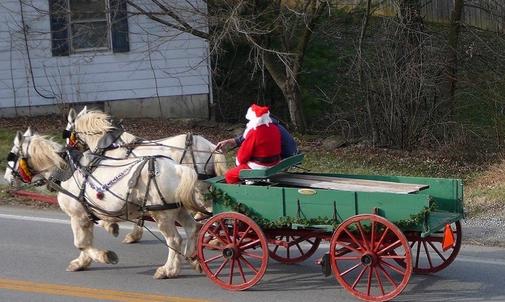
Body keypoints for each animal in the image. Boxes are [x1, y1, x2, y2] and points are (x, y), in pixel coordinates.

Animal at [4, 132, 201, 278]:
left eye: (12, 155)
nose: (6, 179)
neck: (67, 172)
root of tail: (178, 168)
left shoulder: (77, 215)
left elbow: (80, 242)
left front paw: (105, 256)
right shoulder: (86, 215)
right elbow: (86, 240)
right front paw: (81, 262)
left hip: (162, 214)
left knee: (174, 239)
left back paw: (168, 270)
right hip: (177, 209)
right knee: (192, 228)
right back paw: (192, 258)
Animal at [66, 107, 227, 244]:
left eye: (68, 131)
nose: (67, 149)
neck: (112, 146)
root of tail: (211, 146)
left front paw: (121, 230)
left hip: (200, 189)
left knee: (213, 211)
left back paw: (217, 238)